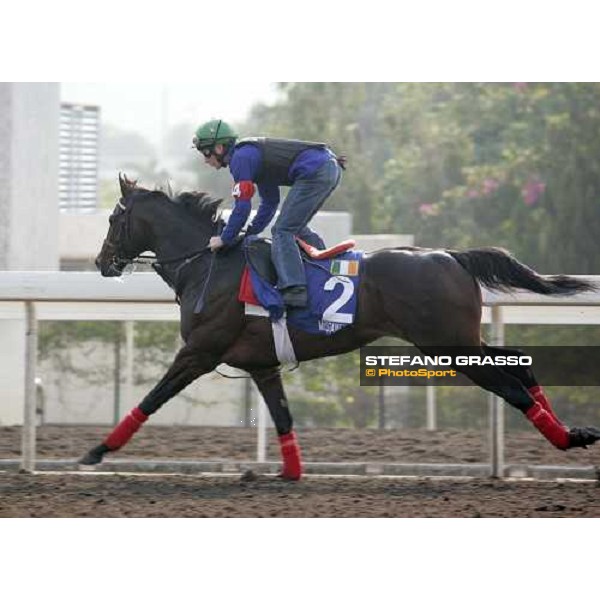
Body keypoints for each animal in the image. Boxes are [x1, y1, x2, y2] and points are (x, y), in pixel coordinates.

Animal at [79, 175, 600, 478]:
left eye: (113, 219)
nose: (102, 262)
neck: (209, 263)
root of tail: (451, 255)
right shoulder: (261, 365)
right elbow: (283, 417)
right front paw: (289, 473)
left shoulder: (200, 352)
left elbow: (151, 399)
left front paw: (97, 450)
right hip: (460, 340)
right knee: (521, 368)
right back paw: (573, 432)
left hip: (447, 344)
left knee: (510, 383)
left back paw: (566, 437)